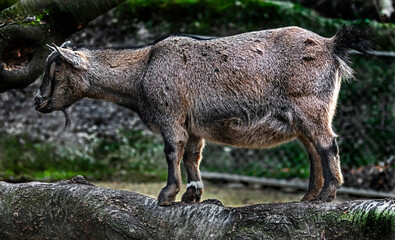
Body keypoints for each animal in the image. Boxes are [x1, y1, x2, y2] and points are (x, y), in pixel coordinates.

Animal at [34, 26, 374, 206]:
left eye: (56, 70)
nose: (38, 102)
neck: (143, 68)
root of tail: (330, 46)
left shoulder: (170, 114)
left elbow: (173, 150)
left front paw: (167, 194)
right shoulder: (193, 123)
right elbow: (192, 155)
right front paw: (193, 193)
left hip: (310, 106)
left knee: (328, 143)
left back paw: (327, 193)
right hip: (302, 117)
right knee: (314, 150)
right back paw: (308, 197)